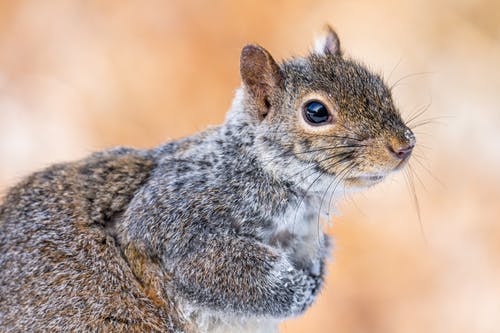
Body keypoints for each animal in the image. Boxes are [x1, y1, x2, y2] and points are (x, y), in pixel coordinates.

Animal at [0, 26, 414, 332]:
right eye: (315, 111)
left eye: (379, 86)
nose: (404, 145)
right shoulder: (174, 215)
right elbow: (212, 269)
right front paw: (299, 289)